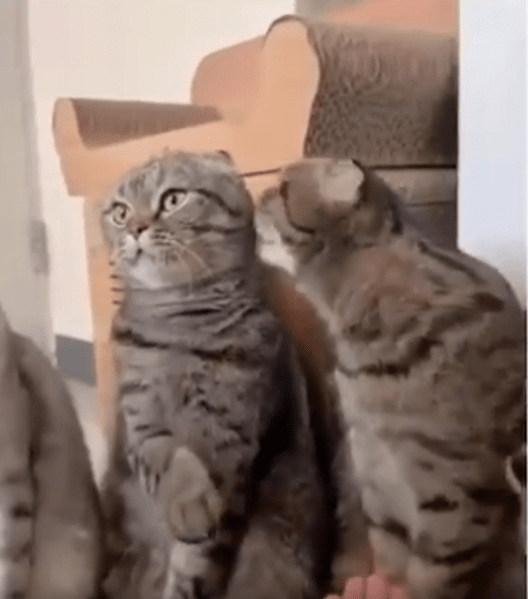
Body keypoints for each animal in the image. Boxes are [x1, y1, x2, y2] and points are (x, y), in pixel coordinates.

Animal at [99, 151, 329, 599]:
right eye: (120, 212)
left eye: (173, 199)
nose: (135, 228)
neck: (179, 330)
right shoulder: (140, 420)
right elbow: (167, 454)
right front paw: (190, 501)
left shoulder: (230, 445)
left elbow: (197, 563)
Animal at [256, 157, 526, 599]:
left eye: (281, 189)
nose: (251, 199)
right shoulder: (376, 477)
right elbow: (390, 561)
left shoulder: (457, 493)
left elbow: (433, 577)